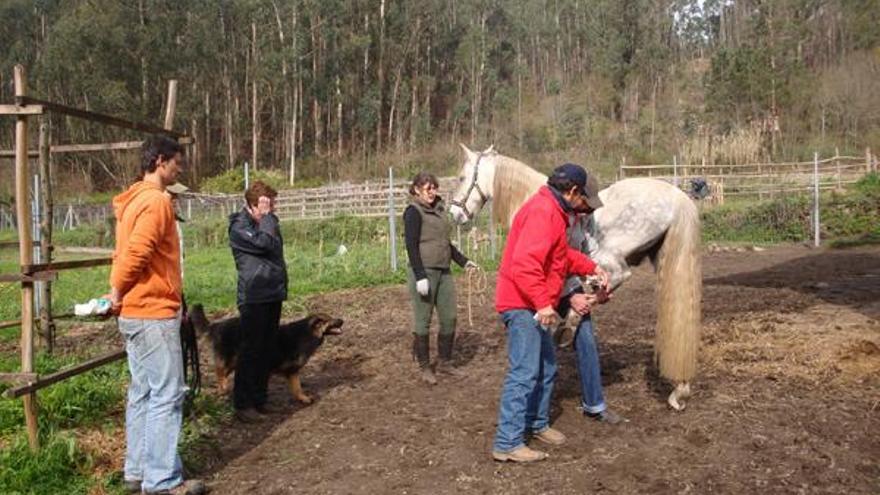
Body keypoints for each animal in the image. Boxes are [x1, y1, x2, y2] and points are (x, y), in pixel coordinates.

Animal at [189, 304, 344, 404]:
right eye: (330, 320)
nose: (343, 320)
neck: (307, 334)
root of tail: (216, 325)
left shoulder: (292, 371)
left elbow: (297, 388)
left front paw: (303, 398)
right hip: (230, 358)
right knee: (219, 371)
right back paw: (223, 388)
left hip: (236, 361)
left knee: (223, 373)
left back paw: (222, 389)